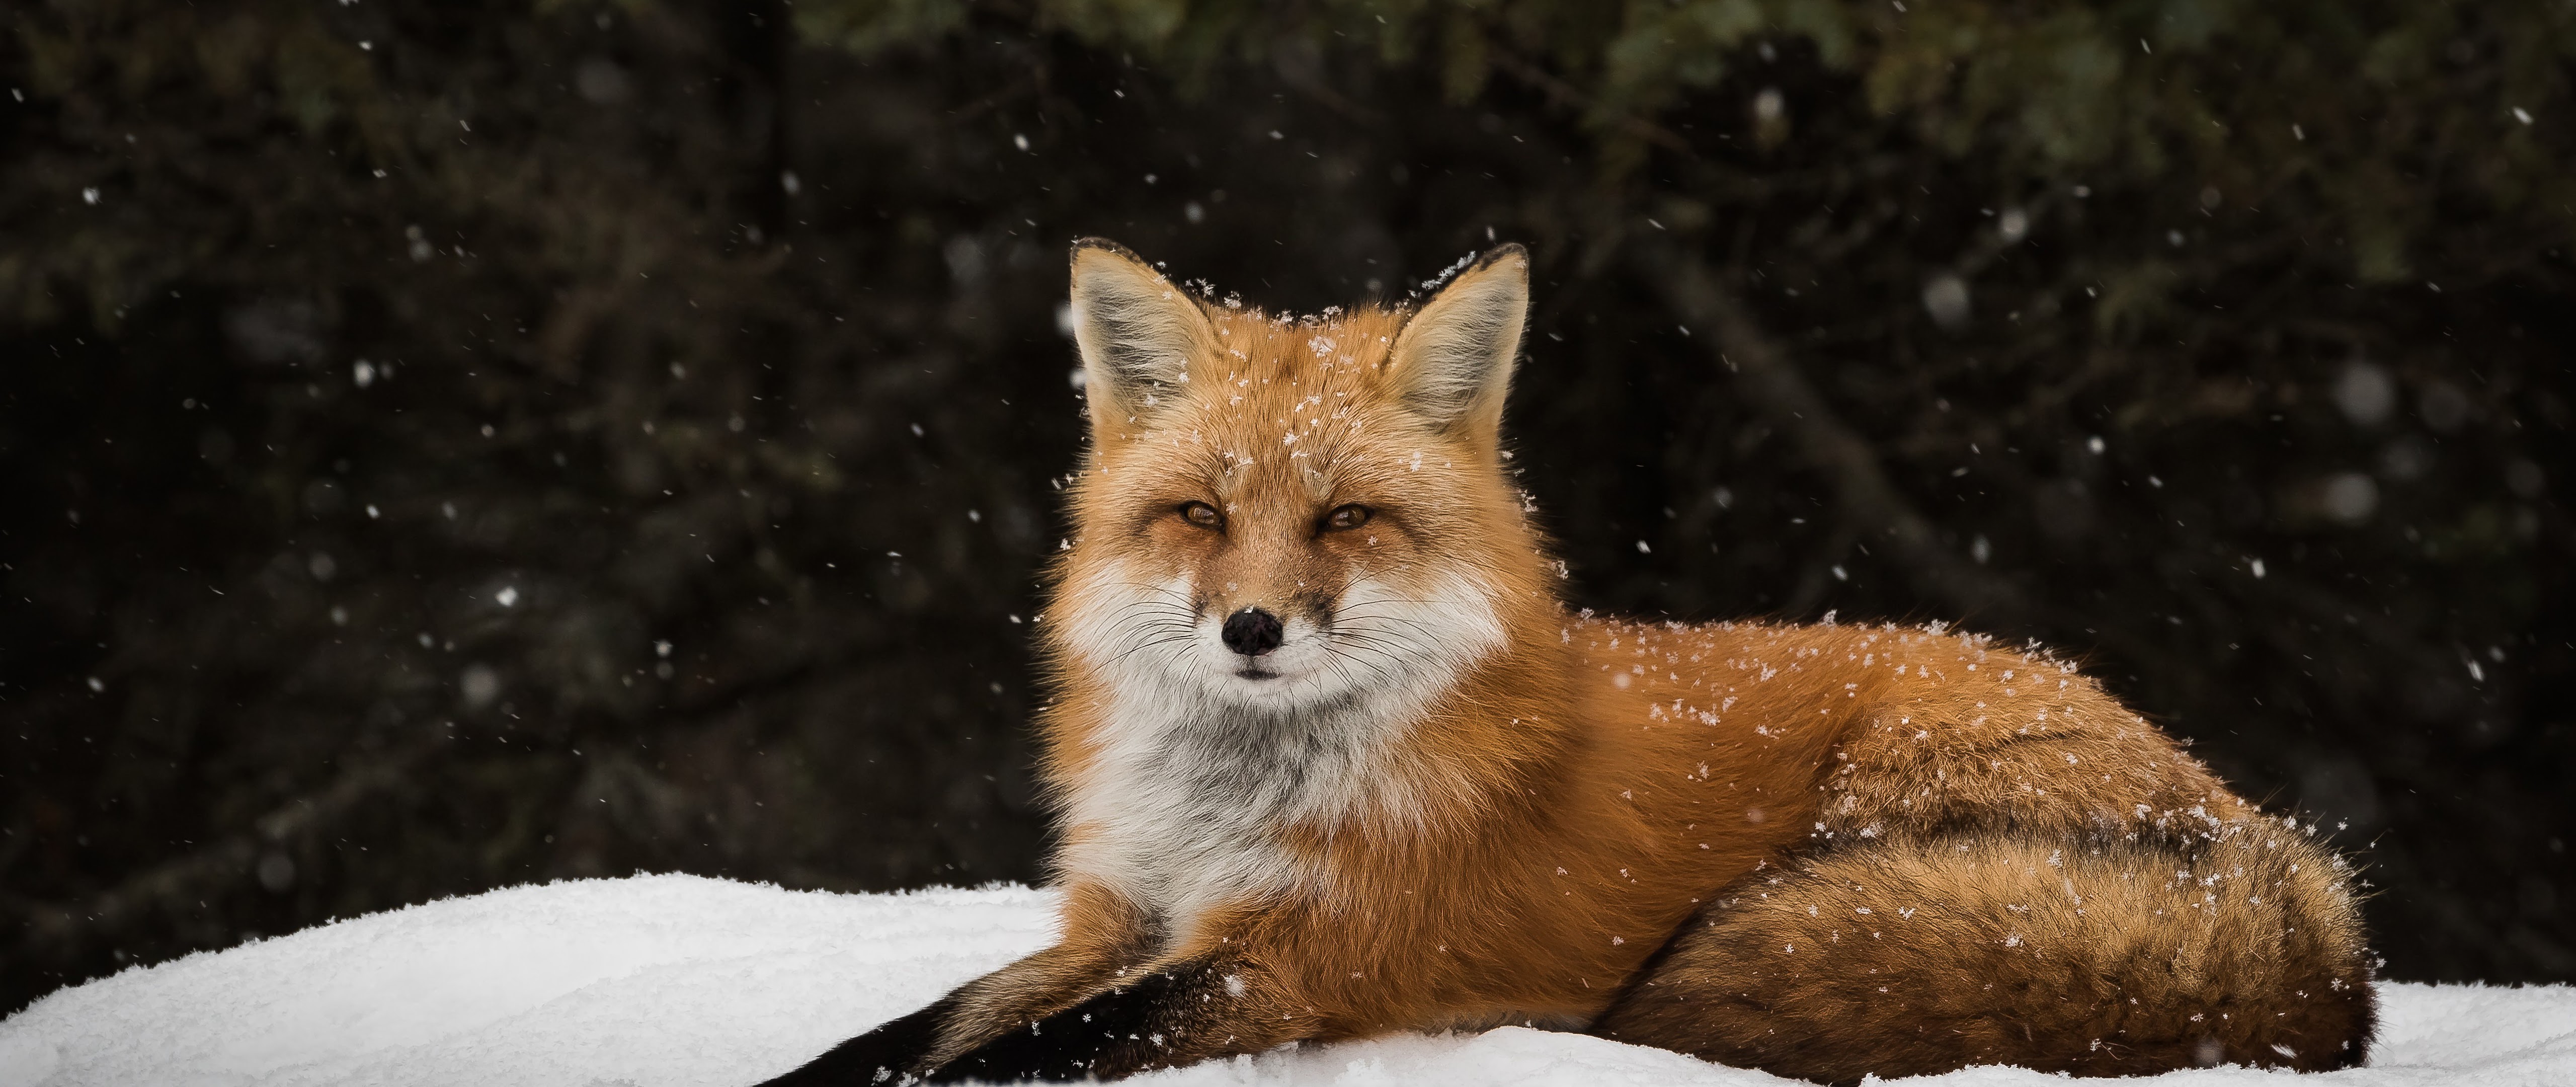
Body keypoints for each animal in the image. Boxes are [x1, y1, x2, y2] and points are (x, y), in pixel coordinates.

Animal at [760, 239, 2377, 1085]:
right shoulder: (1120, 916)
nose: (1252, 629)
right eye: (1202, 518)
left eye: (1344, 520)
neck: (1234, 798)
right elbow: (913, 1031)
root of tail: (2294, 885)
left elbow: (998, 1061)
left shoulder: (1296, 962)